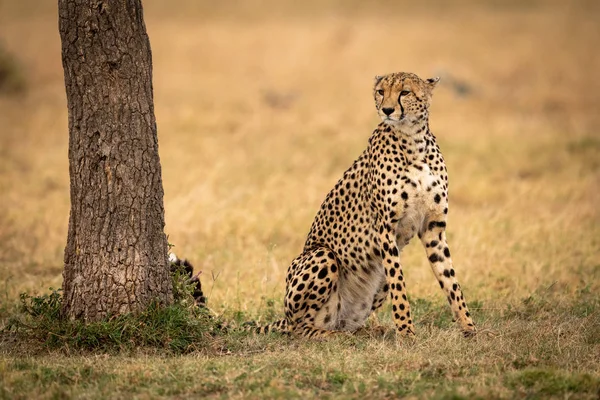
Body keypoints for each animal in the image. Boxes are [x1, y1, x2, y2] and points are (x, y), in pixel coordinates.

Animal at [254, 72, 478, 338]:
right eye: (381, 91)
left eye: (405, 92)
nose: (387, 109)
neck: (414, 142)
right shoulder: (385, 228)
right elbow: (399, 285)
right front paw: (406, 332)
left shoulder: (433, 228)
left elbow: (451, 281)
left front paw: (470, 328)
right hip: (322, 255)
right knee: (299, 328)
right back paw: (333, 336)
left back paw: (366, 331)